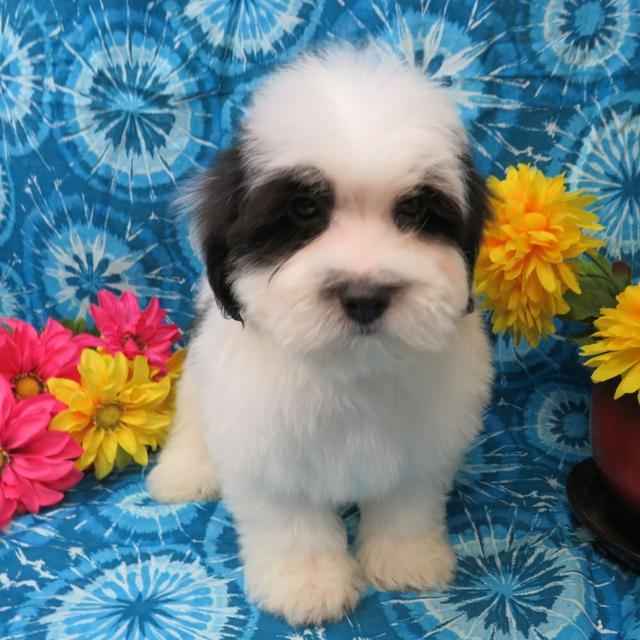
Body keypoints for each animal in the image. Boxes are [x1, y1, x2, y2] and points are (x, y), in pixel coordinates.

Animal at [150, 47, 496, 628]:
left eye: (414, 211)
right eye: (304, 210)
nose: (364, 295)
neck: (349, 368)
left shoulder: (423, 438)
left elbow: (406, 501)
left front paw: (406, 560)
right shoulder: (263, 443)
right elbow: (292, 520)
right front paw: (306, 583)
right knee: (193, 420)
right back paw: (183, 472)